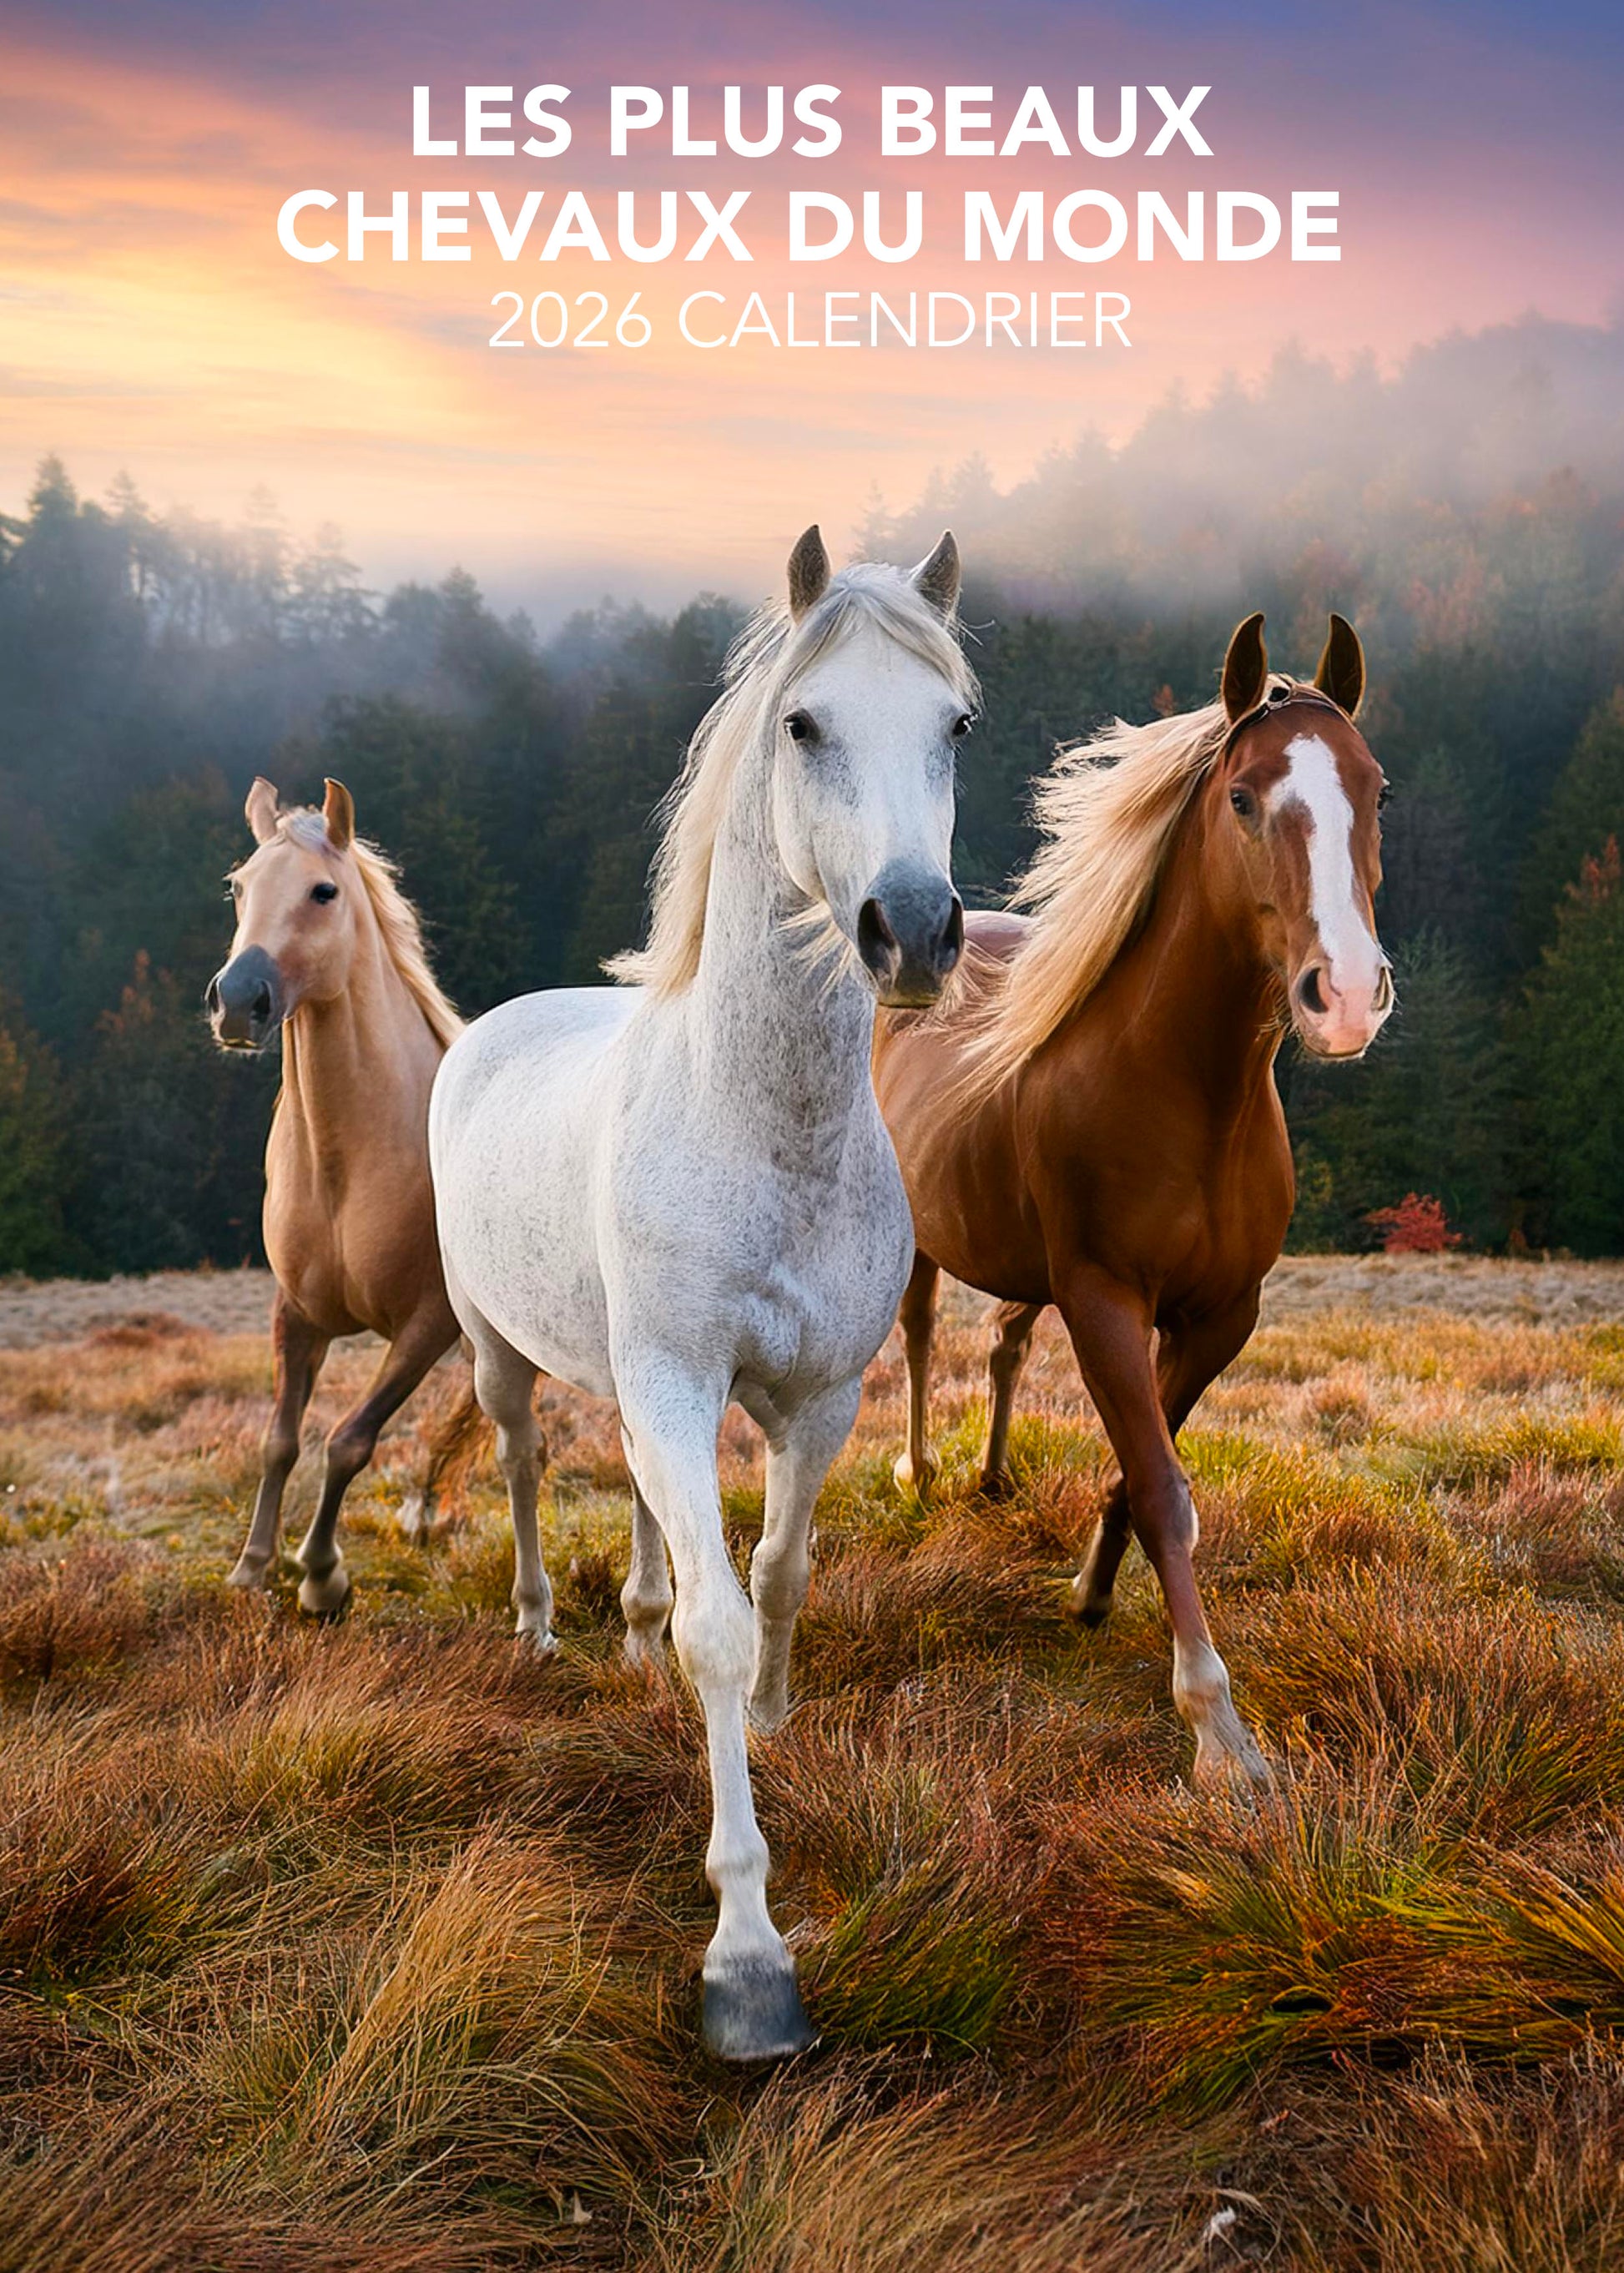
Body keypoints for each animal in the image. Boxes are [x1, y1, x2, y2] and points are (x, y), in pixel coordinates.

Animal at [207, 777, 481, 1614]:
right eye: (238, 887)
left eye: (323, 892)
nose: (238, 1001)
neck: (348, 1162)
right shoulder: (296, 1314)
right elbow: (281, 1440)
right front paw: (252, 1566)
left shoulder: (425, 1327)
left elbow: (349, 1442)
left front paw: (322, 1575)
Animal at [429, 525, 972, 2059]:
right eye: (804, 725)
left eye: (955, 727)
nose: (916, 932)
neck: (764, 1129)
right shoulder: (678, 1381)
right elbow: (718, 1629)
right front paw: (745, 1957)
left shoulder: (818, 1398)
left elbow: (778, 1573)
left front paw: (776, 1715)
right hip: (502, 1353)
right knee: (522, 1461)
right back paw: (542, 1626)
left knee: (634, 1497)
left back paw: (626, 1623)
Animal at [871, 610, 1393, 1791]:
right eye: (1242, 797)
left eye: (1376, 789)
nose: (1342, 997)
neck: (1187, 1091)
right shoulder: (1105, 1298)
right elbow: (1160, 1485)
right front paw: (1217, 1729)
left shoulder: (1220, 1315)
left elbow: (1143, 1465)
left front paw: (1092, 1589)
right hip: (919, 1238)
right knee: (920, 1334)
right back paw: (920, 1471)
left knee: (1004, 1343)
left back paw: (991, 1477)